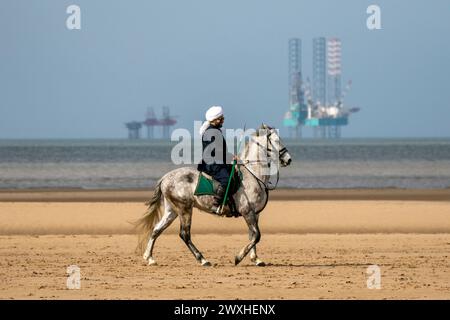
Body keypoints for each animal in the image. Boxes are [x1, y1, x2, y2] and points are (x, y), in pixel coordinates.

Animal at [134, 124, 294, 266]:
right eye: (275, 140)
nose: (288, 159)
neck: (253, 173)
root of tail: (165, 177)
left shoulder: (255, 213)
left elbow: (252, 235)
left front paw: (256, 259)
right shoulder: (247, 211)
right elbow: (257, 235)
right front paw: (238, 258)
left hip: (172, 210)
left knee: (156, 230)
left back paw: (149, 258)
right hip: (185, 209)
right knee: (184, 234)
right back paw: (203, 260)